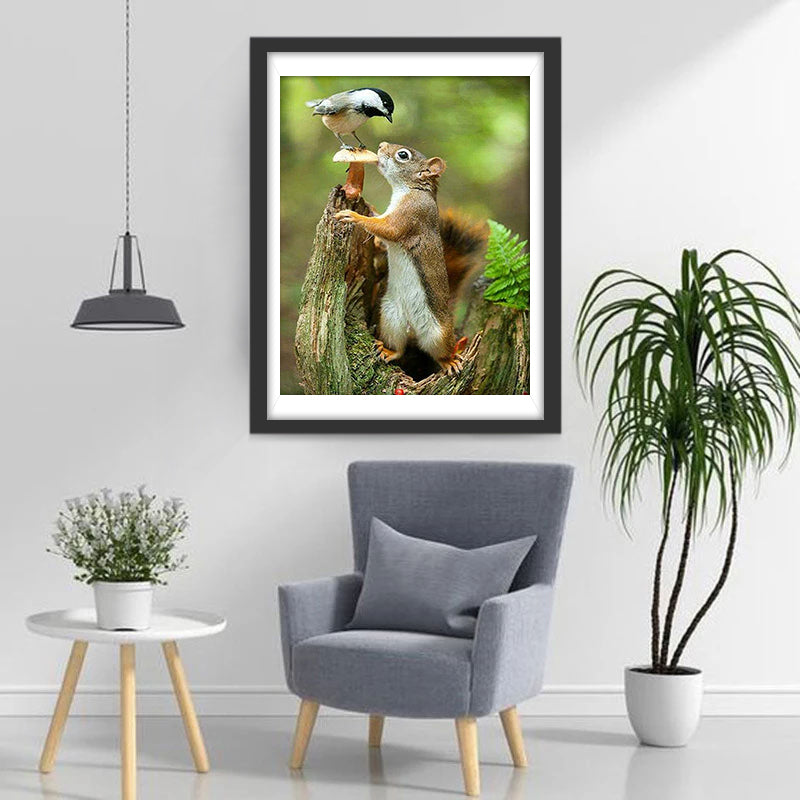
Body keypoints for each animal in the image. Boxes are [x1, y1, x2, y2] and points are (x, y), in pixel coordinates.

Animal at [335, 142, 486, 376]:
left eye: (403, 155)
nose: (381, 145)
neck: (409, 189)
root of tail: (413, 329)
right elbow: (381, 230)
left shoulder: (411, 215)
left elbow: (388, 229)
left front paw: (354, 216)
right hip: (390, 318)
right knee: (400, 348)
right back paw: (388, 351)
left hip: (438, 334)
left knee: (440, 353)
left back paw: (450, 361)